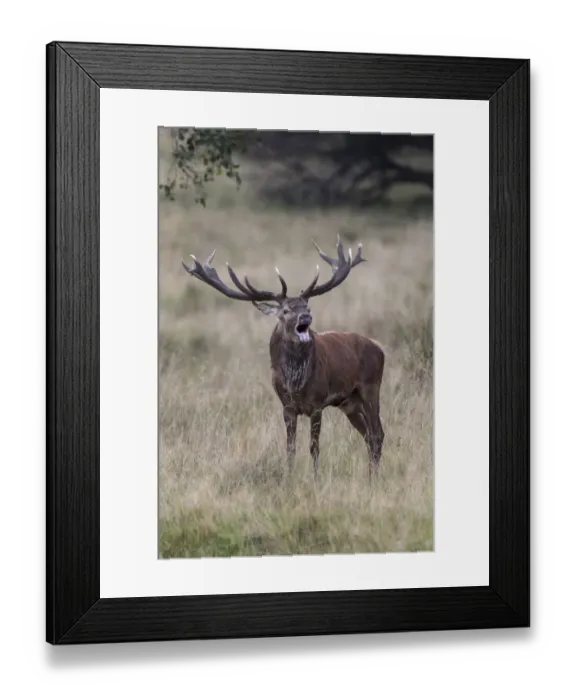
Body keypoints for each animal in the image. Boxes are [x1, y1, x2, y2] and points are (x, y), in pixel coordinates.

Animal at [182, 236, 385, 479]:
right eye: (286, 310)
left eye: (307, 306)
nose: (306, 316)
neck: (295, 383)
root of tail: (379, 348)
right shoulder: (287, 406)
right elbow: (290, 447)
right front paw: (289, 476)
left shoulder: (317, 403)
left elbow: (314, 447)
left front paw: (315, 479)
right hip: (349, 402)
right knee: (368, 435)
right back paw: (371, 475)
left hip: (370, 387)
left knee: (377, 434)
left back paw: (374, 478)